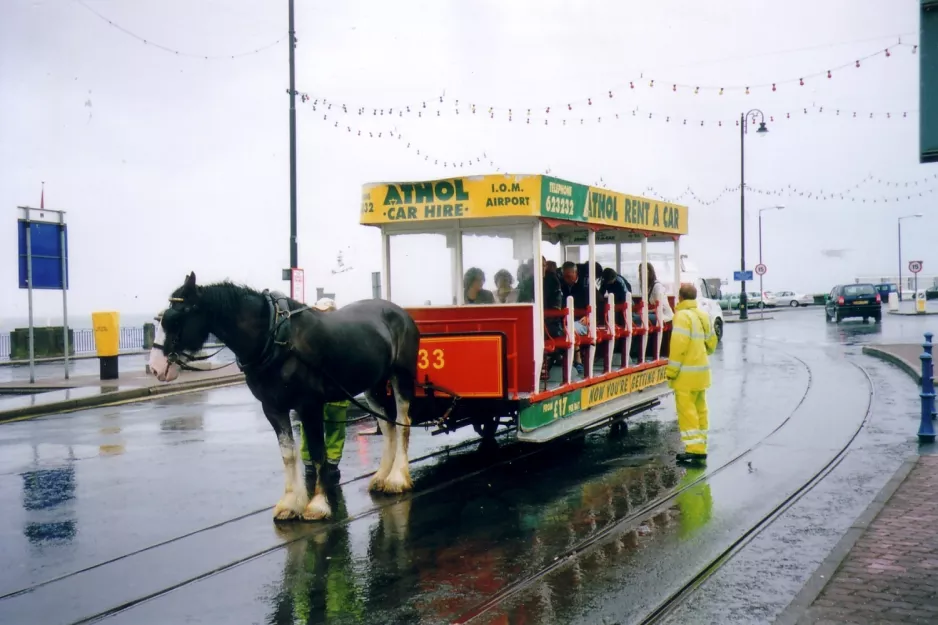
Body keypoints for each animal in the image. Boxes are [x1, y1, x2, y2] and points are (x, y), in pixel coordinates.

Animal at [158, 272, 420, 520]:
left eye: (176, 318)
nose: (158, 367)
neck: (275, 337)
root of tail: (400, 312)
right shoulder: (273, 407)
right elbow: (289, 454)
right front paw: (291, 503)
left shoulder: (309, 405)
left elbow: (317, 453)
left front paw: (318, 504)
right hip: (374, 385)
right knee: (387, 425)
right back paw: (382, 476)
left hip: (401, 376)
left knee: (403, 422)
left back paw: (397, 478)